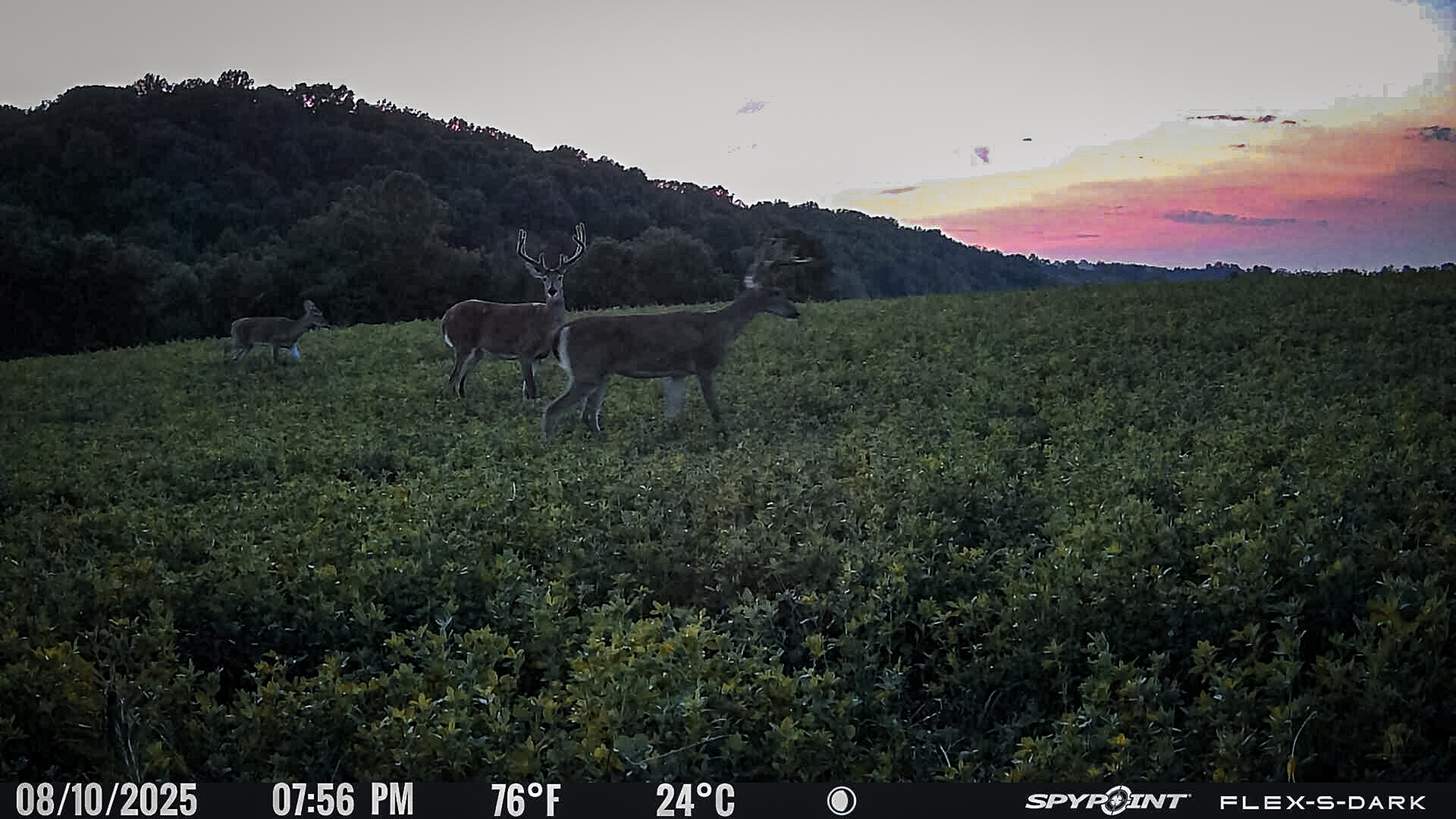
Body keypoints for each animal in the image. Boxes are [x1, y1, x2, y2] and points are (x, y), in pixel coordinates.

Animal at [442, 223, 586, 400]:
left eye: (560, 277)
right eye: (544, 278)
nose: (552, 290)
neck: (546, 325)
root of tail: (446, 318)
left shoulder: (538, 358)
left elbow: (526, 392)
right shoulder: (524, 352)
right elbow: (532, 390)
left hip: (477, 351)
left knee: (460, 381)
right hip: (462, 343)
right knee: (452, 379)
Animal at [541, 235, 812, 438]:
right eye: (776, 292)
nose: (795, 312)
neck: (718, 327)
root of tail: (562, 332)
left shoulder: (677, 373)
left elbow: (673, 413)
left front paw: (672, 435)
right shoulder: (704, 365)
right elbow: (714, 409)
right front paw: (725, 434)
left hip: (601, 375)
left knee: (587, 415)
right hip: (586, 371)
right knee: (552, 409)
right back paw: (549, 446)